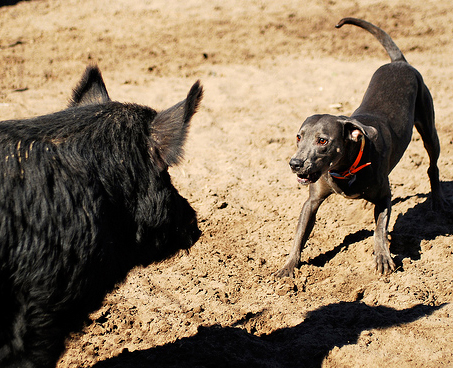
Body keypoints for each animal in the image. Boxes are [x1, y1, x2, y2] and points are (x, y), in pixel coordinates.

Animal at [276, 17, 442, 276]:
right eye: (298, 137)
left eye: (322, 140)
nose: (295, 163)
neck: (346, 167)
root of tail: (399, 62)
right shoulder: (312, 202)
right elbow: (300, 234)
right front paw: (289, 265)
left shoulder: (384, 198)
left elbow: (379, 229)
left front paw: (383, 257)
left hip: (428, 129)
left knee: (432, 166)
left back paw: (437, 204)